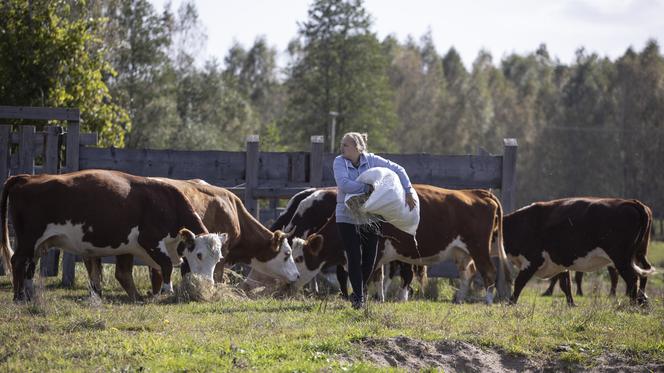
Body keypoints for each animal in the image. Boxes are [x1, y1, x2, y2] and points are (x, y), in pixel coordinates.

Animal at [0, 170, 226, 300]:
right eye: (199, 255)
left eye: (218, 258)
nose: (208, 284)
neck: (166, 202)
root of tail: (27, 178)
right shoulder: (151, 241)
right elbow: (166, 265)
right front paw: (166, 291)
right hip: (29, 238)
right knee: (18, 260)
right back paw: (19, 297)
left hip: (38, 243)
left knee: (30, 264)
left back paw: (29, 294)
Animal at [83, 177, 300, 300]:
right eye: (287, 253)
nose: (297, 276)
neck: (231, 209)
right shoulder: (222, 252)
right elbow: (215, 275)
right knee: (123, 273)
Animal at [288, 183, 510, 302]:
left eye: (298, 258)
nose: (289, 283)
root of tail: (477, 193)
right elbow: (379, 277)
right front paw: (379, 297)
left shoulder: (375, 251)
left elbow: (369, 275)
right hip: (461, 252)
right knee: (467, 274)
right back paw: (459, 299)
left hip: (479, 248)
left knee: (489, 272)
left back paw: (488, 301)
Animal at [504, 198, 652, 306]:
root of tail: (631, 202)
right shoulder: (560, 262)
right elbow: (565, 284)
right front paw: (571, 304)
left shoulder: (532, 260)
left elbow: (519, 283)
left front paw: (511, 303)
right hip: (639, 254)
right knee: (643, 272)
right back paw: (642, 300)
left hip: (621, 258)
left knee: (632, 278)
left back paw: (633, 304)